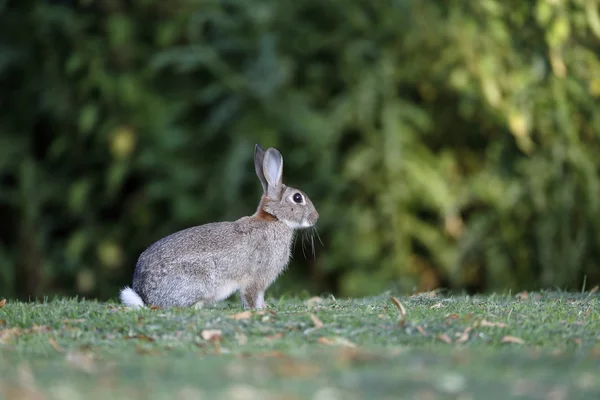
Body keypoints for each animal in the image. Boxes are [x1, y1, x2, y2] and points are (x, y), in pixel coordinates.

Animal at [119, 144, 322, 310]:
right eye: (297, 198)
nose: (316, 217)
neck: (274, 218)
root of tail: (144, 295)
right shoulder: (257, 278)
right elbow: (252, 295)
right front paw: (260, 310)